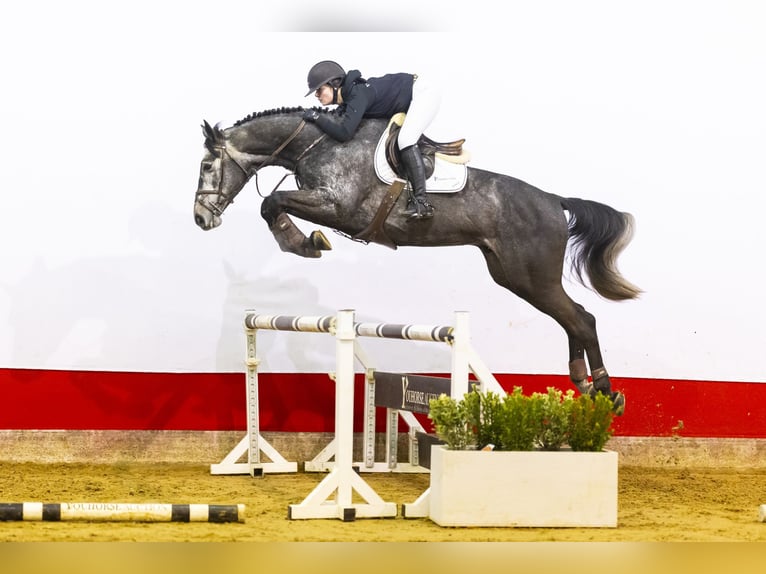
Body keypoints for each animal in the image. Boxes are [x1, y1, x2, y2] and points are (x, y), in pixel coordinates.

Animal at [195, 107, 640, 414]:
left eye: (206, 165)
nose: (201, 219)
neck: (320, 143)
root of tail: (553, 200)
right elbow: (273, 204)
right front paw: (302, 241)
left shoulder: (338, 206)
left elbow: (272, 202)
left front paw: (303, 242)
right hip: (516, 276)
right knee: (573, 318)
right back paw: (584, 382)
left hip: (531, 276)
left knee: (582, 318)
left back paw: (605, 391)